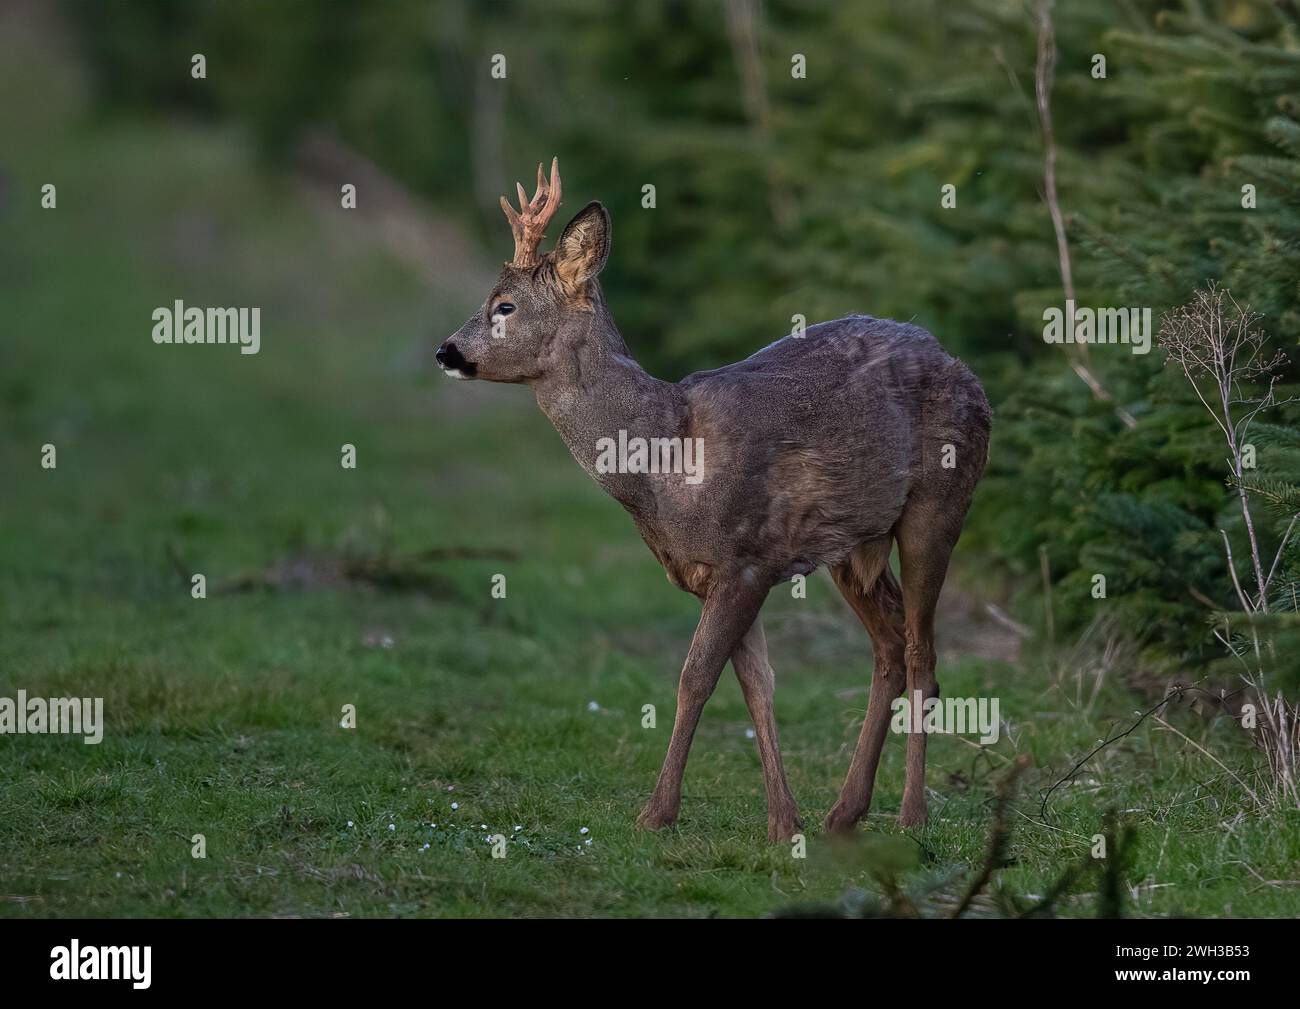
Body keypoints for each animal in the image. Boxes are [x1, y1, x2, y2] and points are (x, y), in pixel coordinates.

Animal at [437, 159, 992, 842]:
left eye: (504, 305)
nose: (445, 352)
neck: (664, 458)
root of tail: (964, 368)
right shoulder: (721, 571)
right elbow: (757, 685)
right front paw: (784, 820)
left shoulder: (746, 557)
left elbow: (695, 678)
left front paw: (656, 813)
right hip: (853, 545)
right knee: (888, 645)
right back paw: (844, 812)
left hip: (940, 504)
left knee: (922, 655)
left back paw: (912, 816)